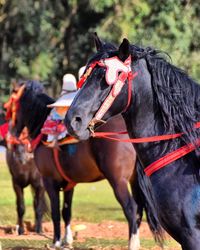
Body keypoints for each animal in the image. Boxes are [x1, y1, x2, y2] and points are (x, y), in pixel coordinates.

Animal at [9, 80, 162, 250]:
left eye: (12, 105)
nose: (13, 132)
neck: (43, 131)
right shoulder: (69, 184)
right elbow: (66, 211)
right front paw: (67, 240)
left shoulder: (49, 181)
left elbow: (55, 212)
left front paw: (56, 241)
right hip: (134, 180)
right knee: (139, 210)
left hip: (118, 181)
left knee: (131, 208)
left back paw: (133, 244)